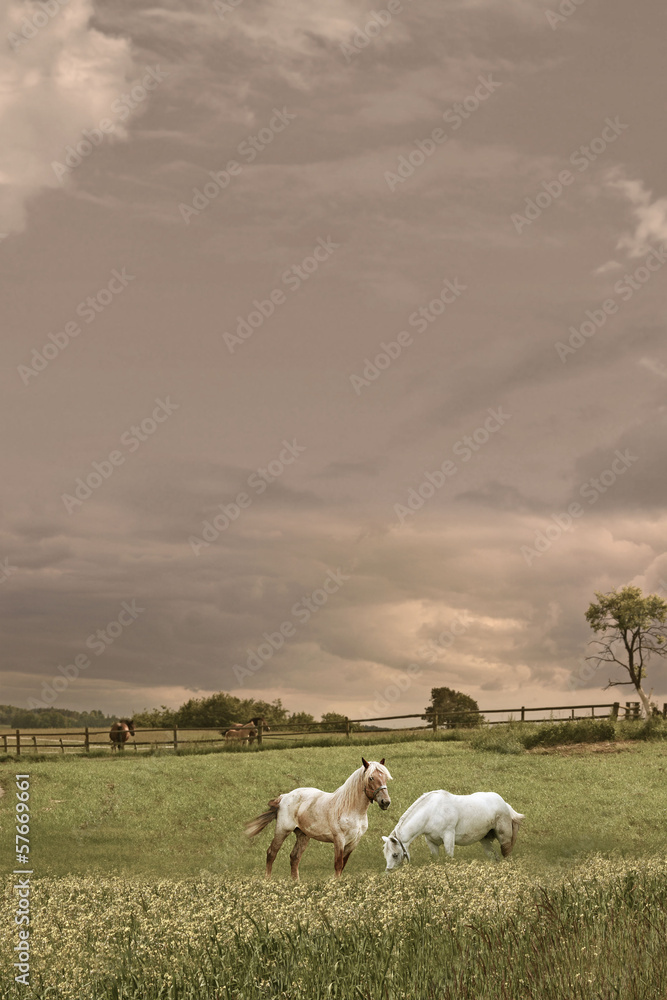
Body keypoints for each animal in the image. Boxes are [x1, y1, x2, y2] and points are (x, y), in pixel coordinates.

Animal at [246, 757, 392, 880]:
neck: (350, 809)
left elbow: (343, 865)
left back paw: (296, 883)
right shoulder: (339, 840)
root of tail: (284, 796)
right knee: (271, 853)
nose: (385, 802)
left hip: (303, 835)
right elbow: (338, 865)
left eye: (385, 777)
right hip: (282, 830)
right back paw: (268, 880)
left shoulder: (353, 842)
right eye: (371, 778)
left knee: (294, 857)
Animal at [382, 790, 524, 870]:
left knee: (506, 853)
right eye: (385, 854)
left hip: (504, 837)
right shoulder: (431, 842)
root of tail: (505, 804)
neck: (431, 812)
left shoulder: (448, 836)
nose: (389, 871)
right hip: (485, 840)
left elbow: (449, 857)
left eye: (395, 854)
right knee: (494, 857)